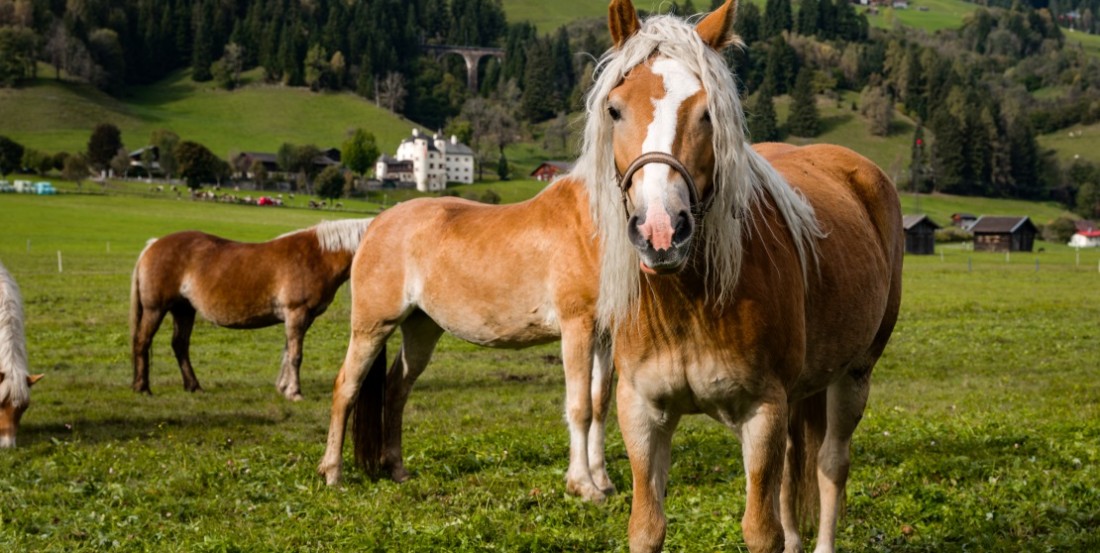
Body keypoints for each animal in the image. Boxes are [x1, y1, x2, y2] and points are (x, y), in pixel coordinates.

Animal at [130, 218, 372, 401]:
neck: (318, 256)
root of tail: (152, 245)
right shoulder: (297, 313)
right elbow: (295, 355)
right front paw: (294, 392)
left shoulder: (300, 318)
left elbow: (287, 352)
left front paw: (283, 388)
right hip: (155, 309)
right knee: (143, 341)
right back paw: (143, 387)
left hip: (184, 310)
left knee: (180, 345)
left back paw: (193, 386)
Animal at [316, 176, 616, 502]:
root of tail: (377, 223)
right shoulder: (577, 326)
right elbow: (581, 407)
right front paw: (585, 485)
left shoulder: (606, 335)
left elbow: (600, 405)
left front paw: (603, 481)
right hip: (372, 328)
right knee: (347, 387)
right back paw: (332, 473)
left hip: (421, 331)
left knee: (396, 390)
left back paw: (397, 469)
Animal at [577, 2, 904, 551]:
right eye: (615, 109)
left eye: (708, 113)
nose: (661, 231)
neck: (686, 304)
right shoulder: (641, 410)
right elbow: (647, 526)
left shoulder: (763, 411)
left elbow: (761, 530)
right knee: (795, 468)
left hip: (854, 375)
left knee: (830, 466)